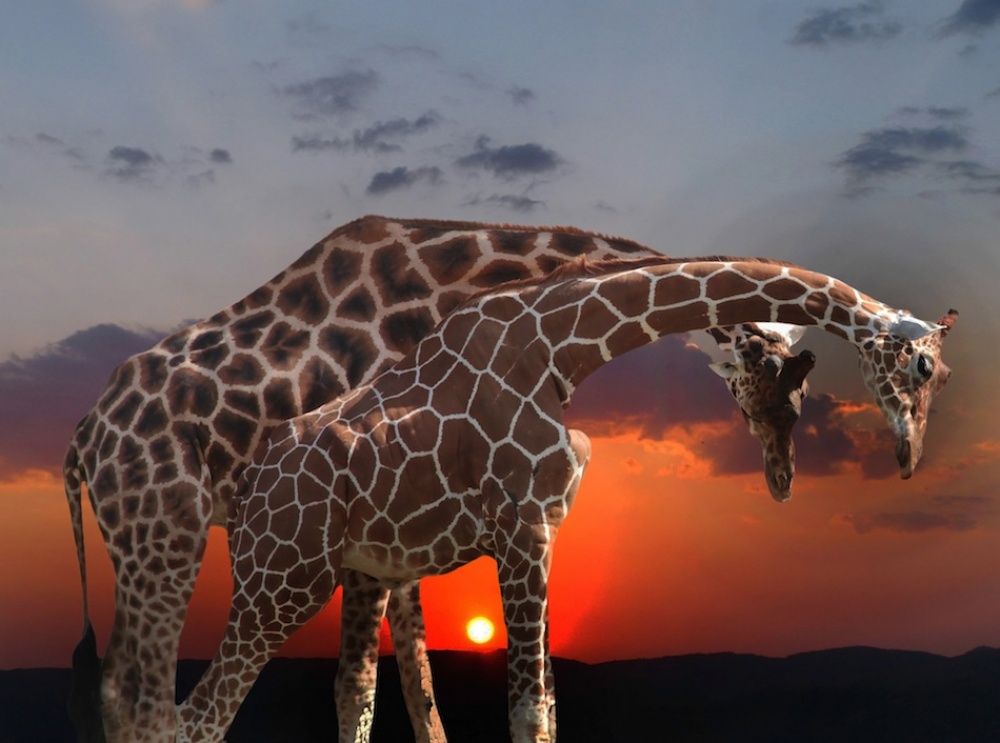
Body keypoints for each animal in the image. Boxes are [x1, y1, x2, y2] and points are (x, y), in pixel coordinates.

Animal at [62, 216, 812, 743]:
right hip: (166, 538)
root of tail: (81, 440)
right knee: (147, 697)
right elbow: (373, 683)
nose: (781, 478)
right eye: (773, 383)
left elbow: (409, 683)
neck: (454, 275)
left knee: (120, 687)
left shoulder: (397, 527)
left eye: (799, 396)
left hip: (143, 548)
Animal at [174, 255, 954, 743]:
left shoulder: (545, 531)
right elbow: (525, 713)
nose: (909, 457)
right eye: (923, 367)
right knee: (198, 716)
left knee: (340, 696)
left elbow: (546, 708)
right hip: (283, 578)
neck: (563, 348)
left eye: (942, 377)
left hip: (352, 572)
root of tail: (246, 491)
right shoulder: (520, 527)